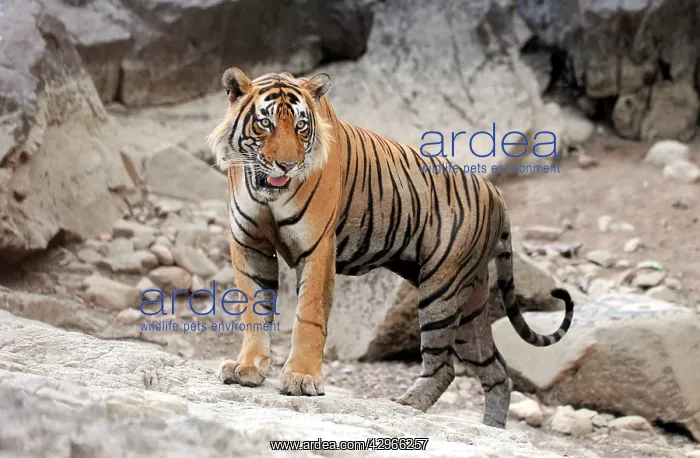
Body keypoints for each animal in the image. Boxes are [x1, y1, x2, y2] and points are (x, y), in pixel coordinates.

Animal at [207, 67, 574, 429]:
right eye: (265, 123)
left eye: (301, 126)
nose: (287, 165)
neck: (266, 192)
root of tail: (495, 192)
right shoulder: (249, 244)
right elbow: (254, 311)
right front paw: (247, 368)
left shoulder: (317, 247)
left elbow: (309, 316)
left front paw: (301, 378)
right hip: (471, 302)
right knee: (495, 367)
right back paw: (491, 427)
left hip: (442, 289)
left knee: (444, 367)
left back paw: (407, 404)